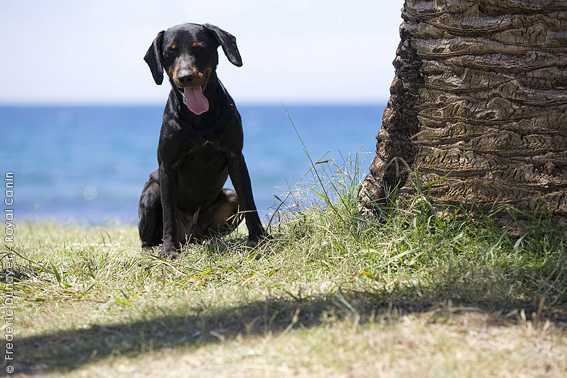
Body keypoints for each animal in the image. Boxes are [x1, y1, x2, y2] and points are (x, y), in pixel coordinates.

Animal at [141, 22, 268, 256]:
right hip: (153, 190)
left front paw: (259, 237)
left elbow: (249, 200)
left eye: (198, 47)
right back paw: (154, 247)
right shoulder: (167, 166)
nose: (185, 77)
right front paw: (168, 249)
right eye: (170, 52)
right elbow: (168, 212)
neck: (199, 119)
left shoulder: (235, 156)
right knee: (147, 237)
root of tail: (190, 234)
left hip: (229, 199)